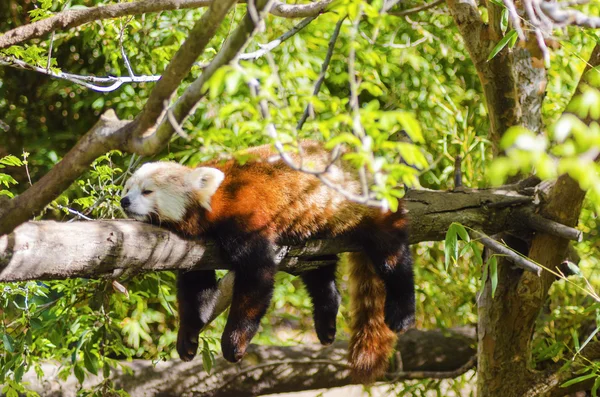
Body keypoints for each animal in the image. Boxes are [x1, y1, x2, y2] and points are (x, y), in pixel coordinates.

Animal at [119, 142, 414, 380]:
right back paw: (326, 317)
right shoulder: (197, 249)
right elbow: (196, 289)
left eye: (147, 191)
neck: (215, 200)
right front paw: (188, 337)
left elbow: (256, 278)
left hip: (367, 205)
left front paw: (234, 342)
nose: (123, 201)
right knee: (320, 271)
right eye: (128, 187)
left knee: (392, 255)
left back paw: (402, 310)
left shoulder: (247, 217)